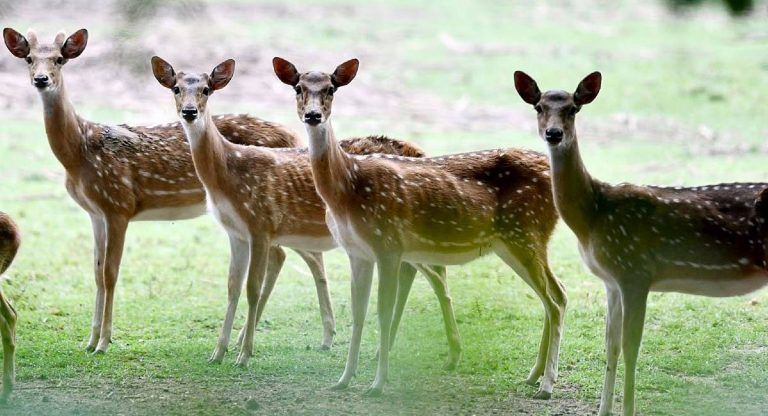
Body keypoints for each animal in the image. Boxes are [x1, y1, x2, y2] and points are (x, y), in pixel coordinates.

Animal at [1, 27, 306, 354]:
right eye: (29, 59)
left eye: (59, 59)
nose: (41, 79)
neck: (79, 152)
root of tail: (292, 135)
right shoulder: (95, 212)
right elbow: (96, 272)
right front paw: (90, 340)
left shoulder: (118, 204)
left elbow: (110, 273)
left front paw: (104, 342)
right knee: (279, 256)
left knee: (282, 255)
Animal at [150, 57, 462, 368]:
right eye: (176, 88)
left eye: (206, 89)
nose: (189, 112)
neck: (227, 174)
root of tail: (421, 153)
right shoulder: (235, 232)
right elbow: (232, 287)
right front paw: (217, 353)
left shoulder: (261, 223)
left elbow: (253, 288)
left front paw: (244, 355)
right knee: (417, 271)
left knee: (437, 275)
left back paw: (452, 353)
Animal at [272, 57, 568, 396]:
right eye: (298, 88)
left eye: (331, 89)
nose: (313, 115)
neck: (347, 188)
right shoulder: (357, 252)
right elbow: (359, 313)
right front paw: (344, 379)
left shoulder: (388, 244)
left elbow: (383, 312)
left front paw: (377, 384)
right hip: (513, 243)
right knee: (554, 295)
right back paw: (534, 375)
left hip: (526, 234)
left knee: (556, 300)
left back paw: (546, 385)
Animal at [512, 70, 768, 414]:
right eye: (538, 106)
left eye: (573, 109)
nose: (553, 134)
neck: (592, 217)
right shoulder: (611, 281)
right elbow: (611, 344)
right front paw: (603, 410)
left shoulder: (635, 270)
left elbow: (631, 346)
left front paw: (627, 409)